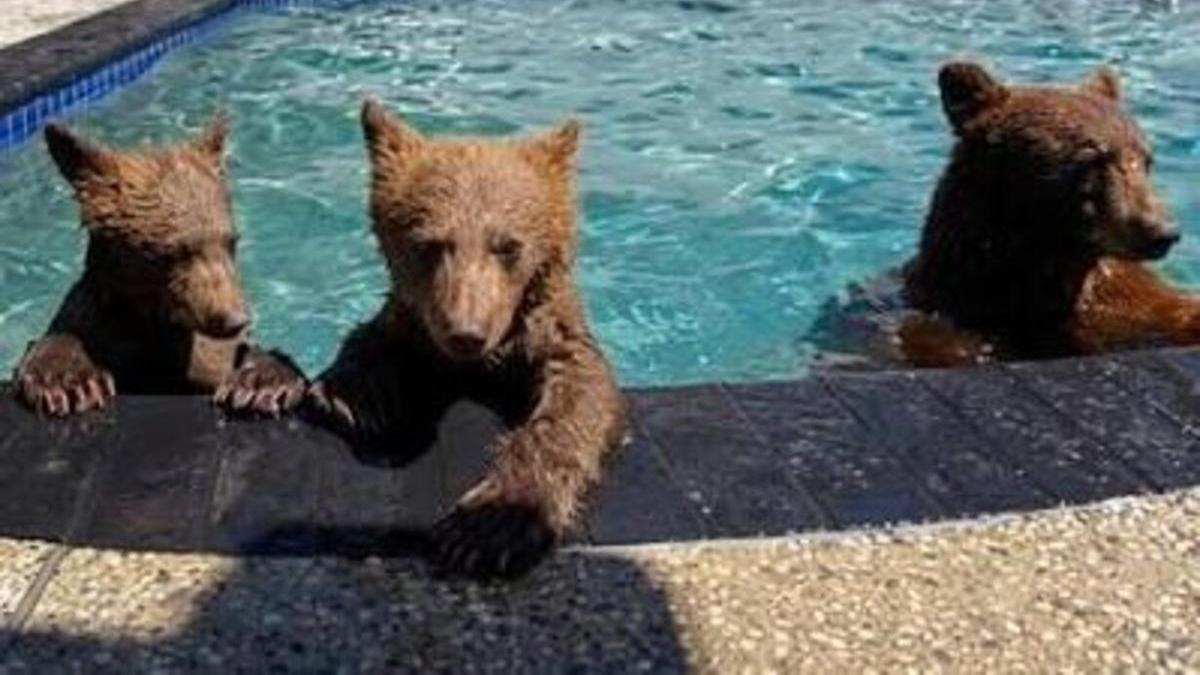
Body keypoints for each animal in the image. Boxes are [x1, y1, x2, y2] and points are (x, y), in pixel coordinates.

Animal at [14, 114, 307, 416]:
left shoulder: (205, 356)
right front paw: (69, 382)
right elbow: (61, 337)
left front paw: (261, 383)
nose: (235, 319)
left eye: (231, 242)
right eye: (177, 251)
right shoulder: (99, 323)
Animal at [306, 99, 629, 579]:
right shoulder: (413, 321)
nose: (466, 334)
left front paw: (488, 527)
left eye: (508, 246)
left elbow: (581, 396)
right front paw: (356, 395)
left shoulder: (552, 330)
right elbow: (370, 337)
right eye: (429, 244)